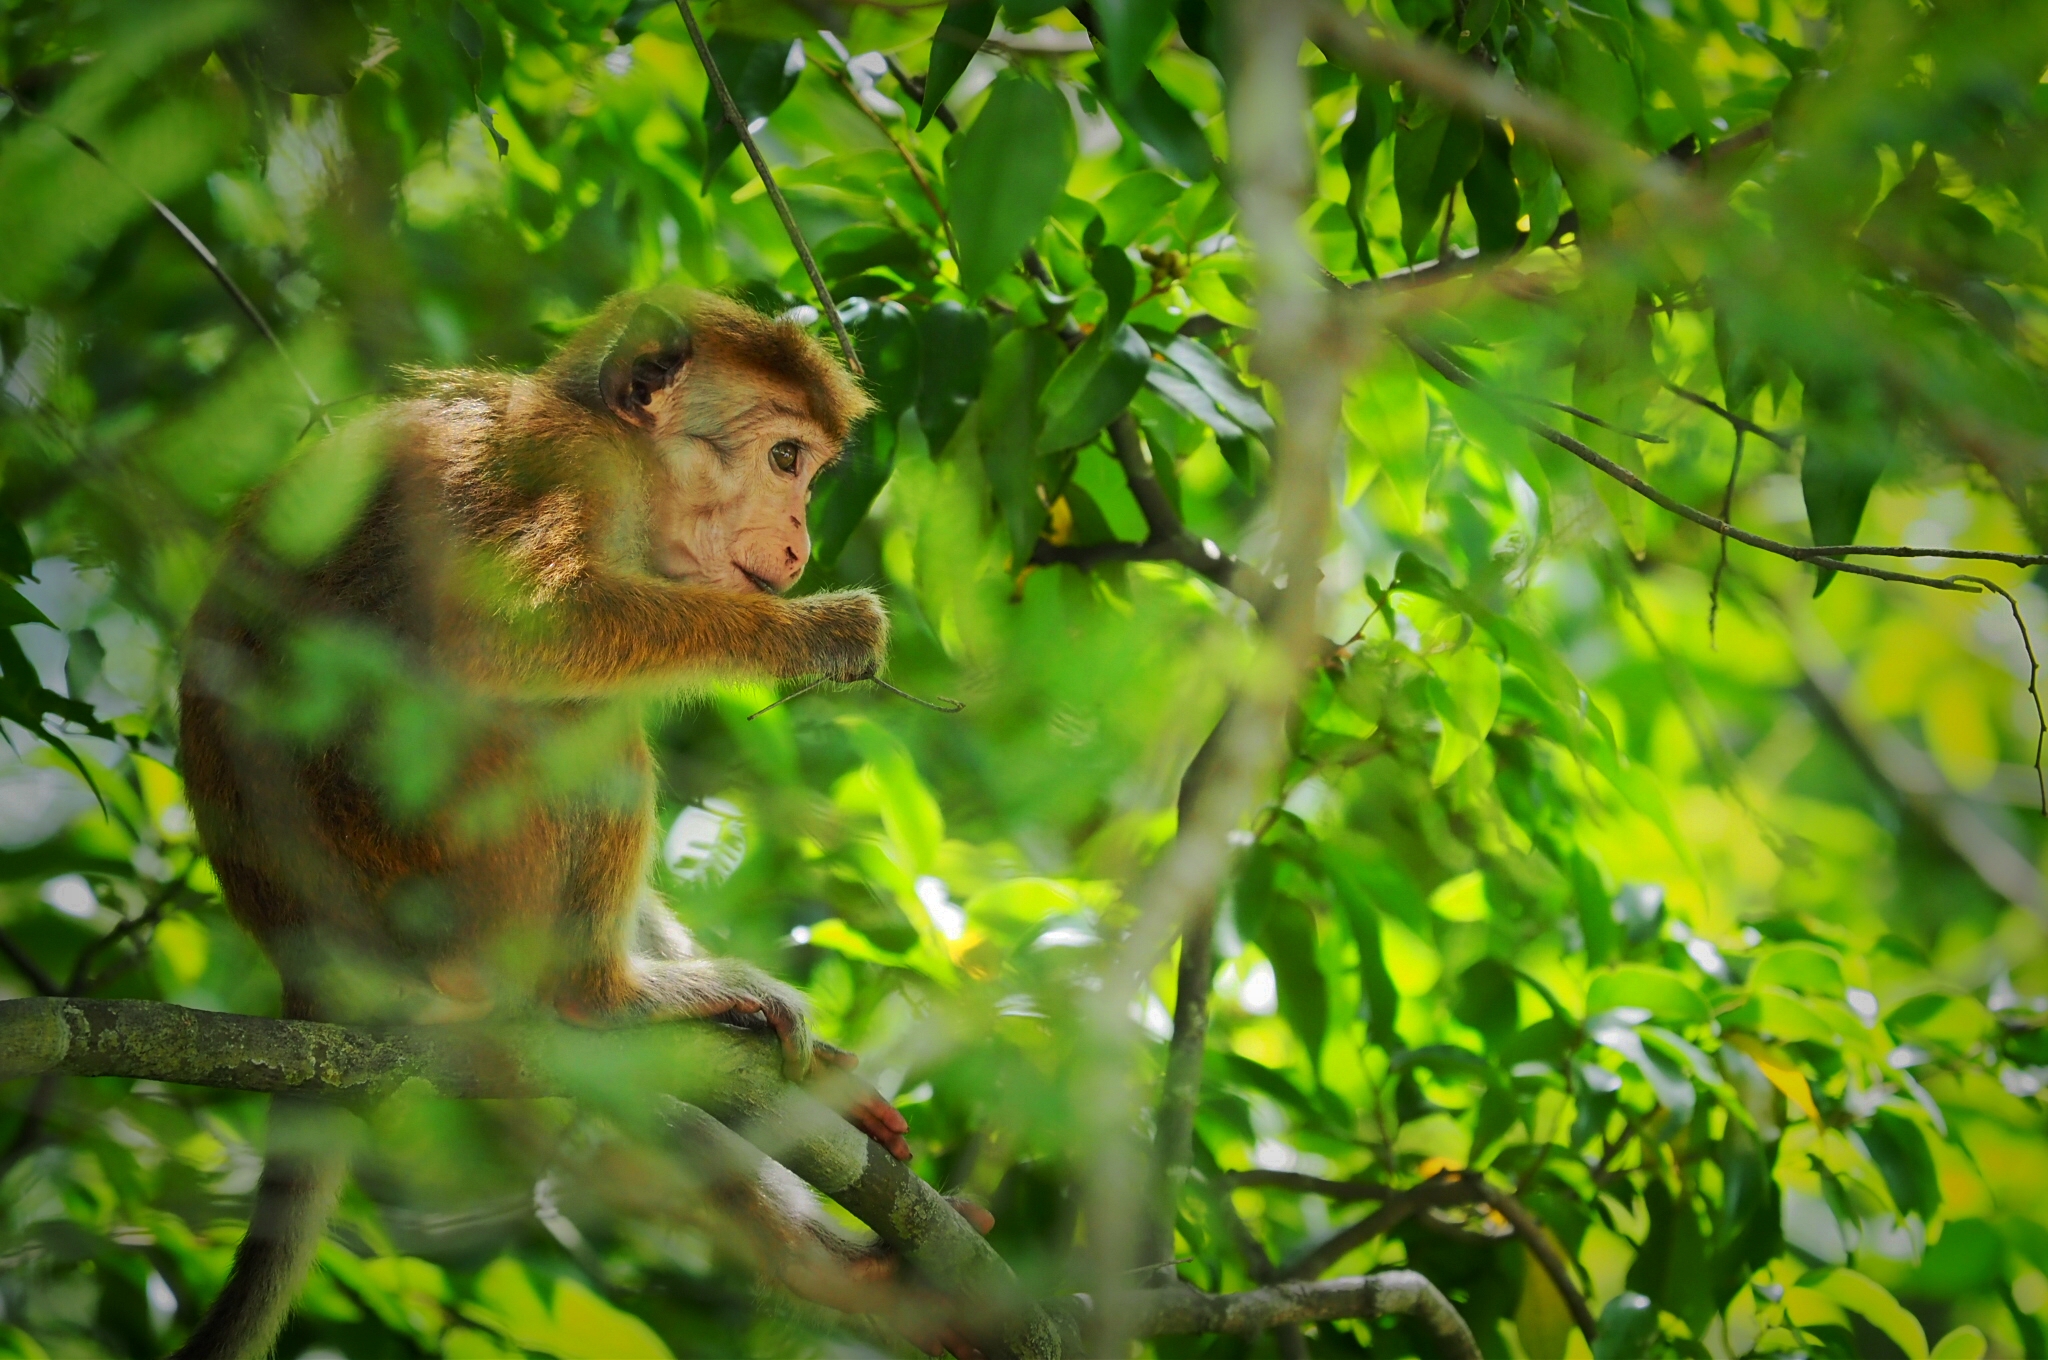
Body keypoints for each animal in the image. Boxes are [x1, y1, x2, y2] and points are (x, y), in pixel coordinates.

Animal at [171, 288, 984, 1359]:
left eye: (809, 472)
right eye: (785, 459)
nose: (802, 535)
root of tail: (313, 972)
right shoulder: (568, 466)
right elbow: (520, 631)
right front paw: (820, 632)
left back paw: (844, 1264)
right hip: (447, 880)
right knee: (578, 715)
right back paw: (602, 995)